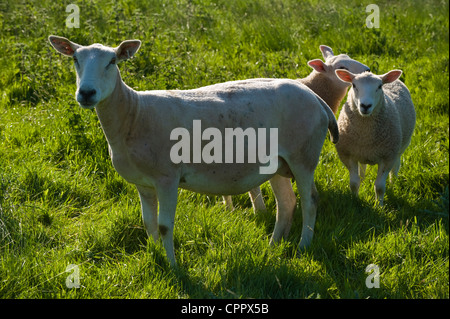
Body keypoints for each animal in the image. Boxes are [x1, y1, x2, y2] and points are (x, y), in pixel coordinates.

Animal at [48, 35, 338, 266]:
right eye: (75, 59)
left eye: (112, 62)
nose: (86, 93)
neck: (134, 114)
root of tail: (315, 98)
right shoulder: (143, 183)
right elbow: (148, 224)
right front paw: (155, 257)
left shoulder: (167, 177)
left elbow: (165, 226)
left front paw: (173, 267)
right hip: (278, 163)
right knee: (287, 203)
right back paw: (273, 246)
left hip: (303, 156)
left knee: (310, 200)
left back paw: (303, 246)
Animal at [334, 69, 414, 206]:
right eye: (354, 85)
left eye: (379, 86)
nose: (365, 106)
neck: (365, 135)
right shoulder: (348, 155)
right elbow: (354, 183)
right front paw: (355, 201)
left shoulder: (387, 157)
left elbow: (380, 187)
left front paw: (379, 206)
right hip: (361, 153)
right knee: (362, 169)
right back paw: (363, 180)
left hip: (400, 147)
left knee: (395, 167)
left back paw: (393, 185)